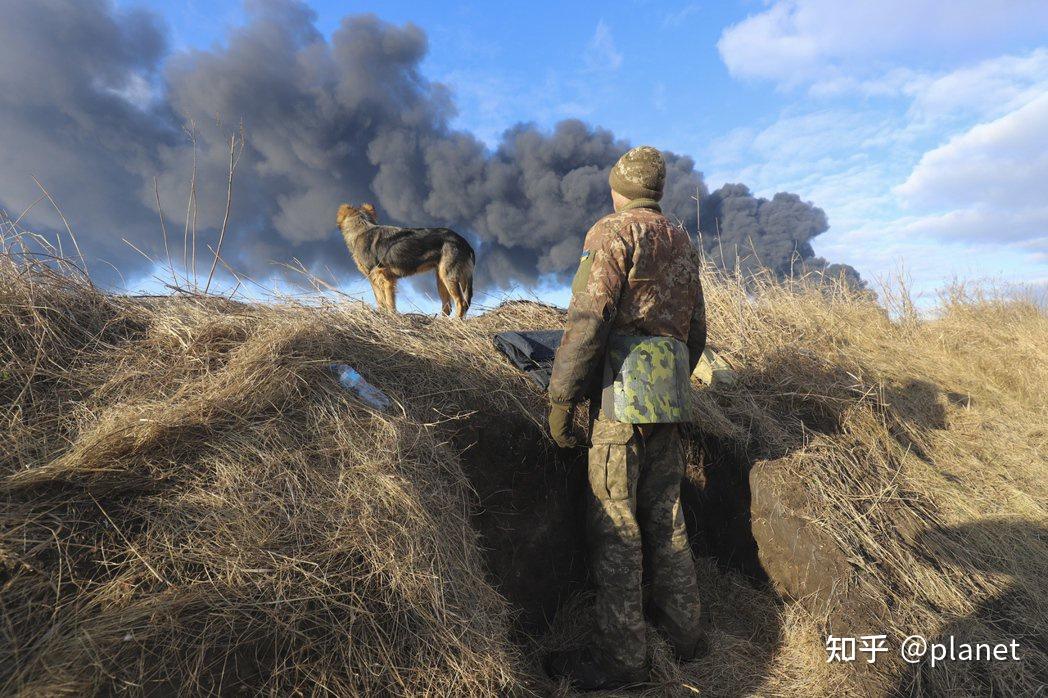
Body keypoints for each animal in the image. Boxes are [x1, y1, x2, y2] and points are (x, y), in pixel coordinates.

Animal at [335, 202, 475, 316]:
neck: (361, 228)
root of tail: (465, 243)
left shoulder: (383, 277)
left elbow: (387, 302)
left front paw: (390, 317)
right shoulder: (377, 279)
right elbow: (381, 301)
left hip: (449, 276)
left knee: (461, 303)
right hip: (441, 278)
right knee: (447, 307)